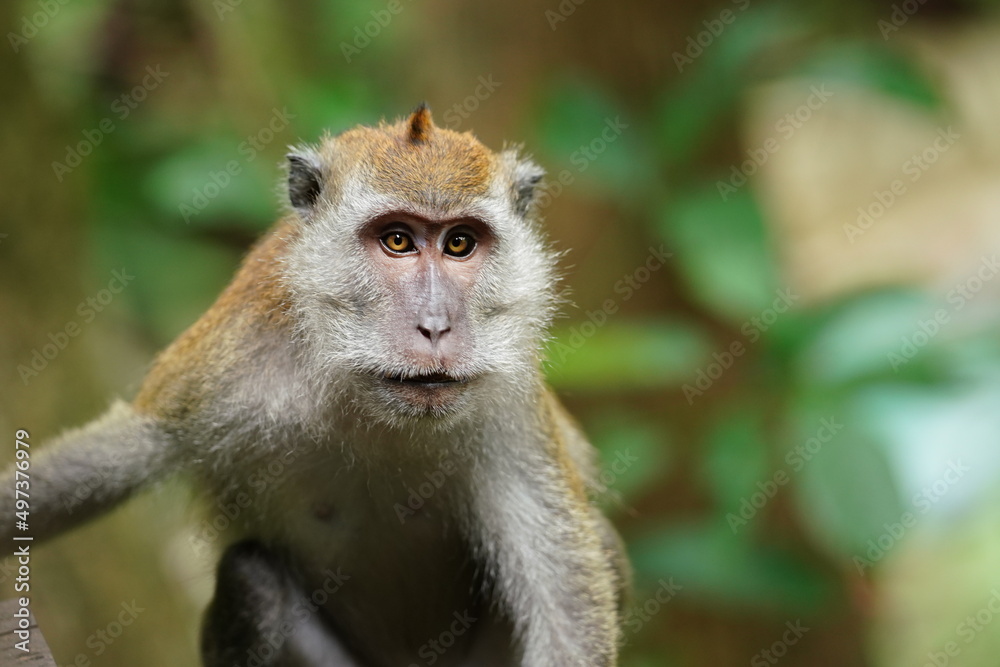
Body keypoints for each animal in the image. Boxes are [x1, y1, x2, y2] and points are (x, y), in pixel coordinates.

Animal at [1, 107, 624, 664]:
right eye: (398, 241)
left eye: (459, 244)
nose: (435, 325)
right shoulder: (229, 369)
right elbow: (113, 456)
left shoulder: (509, 410)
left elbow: (569, 616)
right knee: (251, 580)